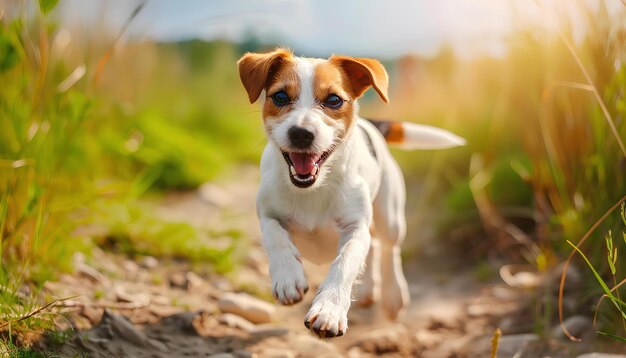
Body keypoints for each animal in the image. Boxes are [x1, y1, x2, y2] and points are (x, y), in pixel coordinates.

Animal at [236, 48, 460, 338]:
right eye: (280, 96)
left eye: (333, 99)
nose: (301, 133)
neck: (314, 188)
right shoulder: (267, 214)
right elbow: (276, 237)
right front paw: (288, 276)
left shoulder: (355, 228)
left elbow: (345, 263)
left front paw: (329, 310)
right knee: (375, 246)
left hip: (390, 217)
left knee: (389, 250)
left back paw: (393, 294)